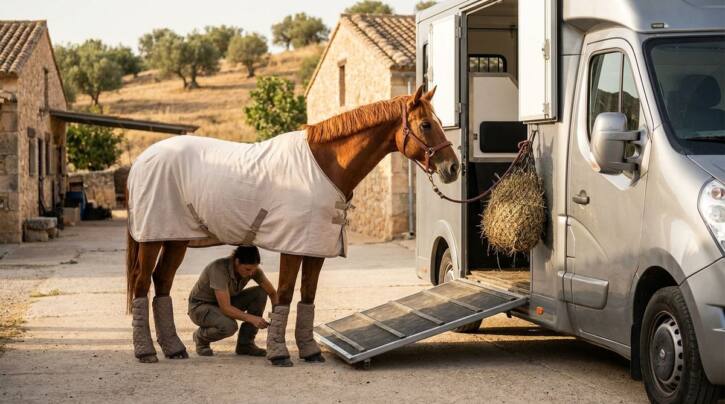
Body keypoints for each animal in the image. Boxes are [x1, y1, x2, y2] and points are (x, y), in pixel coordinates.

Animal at [125, 85, 460, 365]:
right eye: (426, 124)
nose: (453, 168)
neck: (325, 166)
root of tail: (141, 161)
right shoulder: (293, 246)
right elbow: (285, 294)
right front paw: (279, 354)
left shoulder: (315, 248)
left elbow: (307, 297)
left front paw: (309, 351)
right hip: (153, 239)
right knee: (142, 284)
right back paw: (146, 352)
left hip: (175, 238)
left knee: (162, 283)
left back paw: (174, 348)